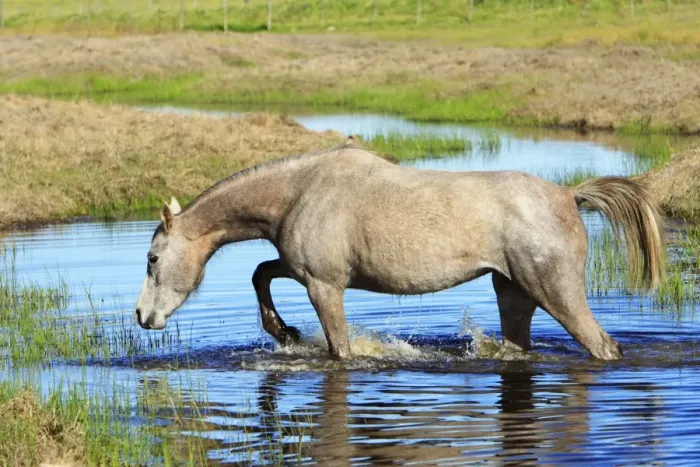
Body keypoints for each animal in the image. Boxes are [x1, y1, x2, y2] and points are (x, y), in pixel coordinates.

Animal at [135, 144, 664, 360]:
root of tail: (568, 196)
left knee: (602, 346)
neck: (299, 191)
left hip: (556, 290)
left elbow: (340, 349)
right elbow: (261, 272)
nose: (142, 316)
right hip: (513, 292)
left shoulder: (324, 285)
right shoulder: (303, 269)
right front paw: (283, 332)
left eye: (153, 259)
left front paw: (289, 333)